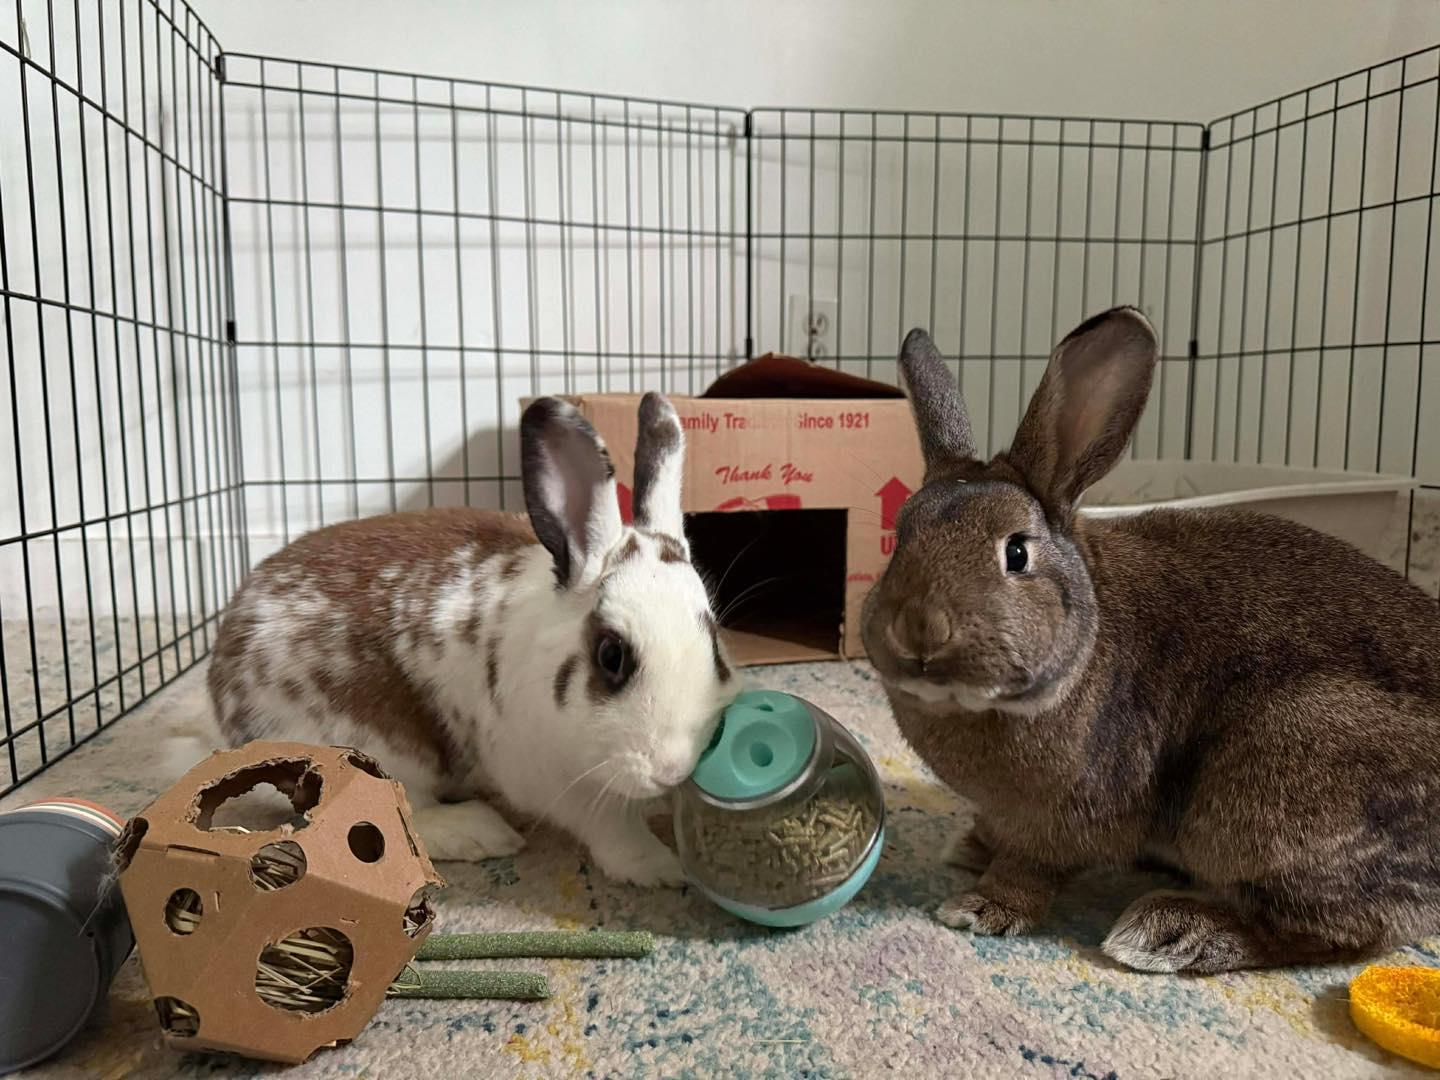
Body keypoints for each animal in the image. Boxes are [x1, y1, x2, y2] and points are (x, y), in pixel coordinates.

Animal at [207, 392, 737, 885]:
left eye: (714, 645)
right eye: (612, 655)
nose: (673, 770)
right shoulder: (553, 780)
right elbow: (611, 826)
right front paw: (660, 867)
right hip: (377, 752)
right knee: (387, 816)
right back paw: (480, 832)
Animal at [862, 306, 1440, 973]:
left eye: (1016, 553)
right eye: (900, 536)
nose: (920, 630)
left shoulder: (1063, 818)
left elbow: (1030, 869)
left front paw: (980, 907)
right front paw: (969, 846)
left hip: (1270, 786)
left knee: (1345, 930)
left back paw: (1170, 932)